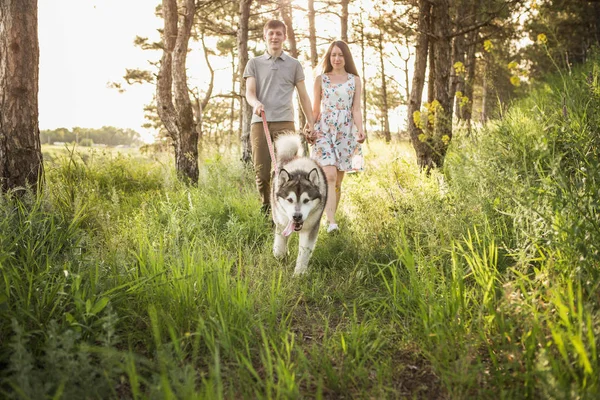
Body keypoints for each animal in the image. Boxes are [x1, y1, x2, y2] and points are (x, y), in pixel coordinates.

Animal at [272, 134, 328, 276]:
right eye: (290, 200)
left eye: (306, 200)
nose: (297, 216)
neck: (299, 172)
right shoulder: (281, 222)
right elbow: (280, 245)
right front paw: (281, 255)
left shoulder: (311, 228)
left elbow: (304, 252)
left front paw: (299, 274)